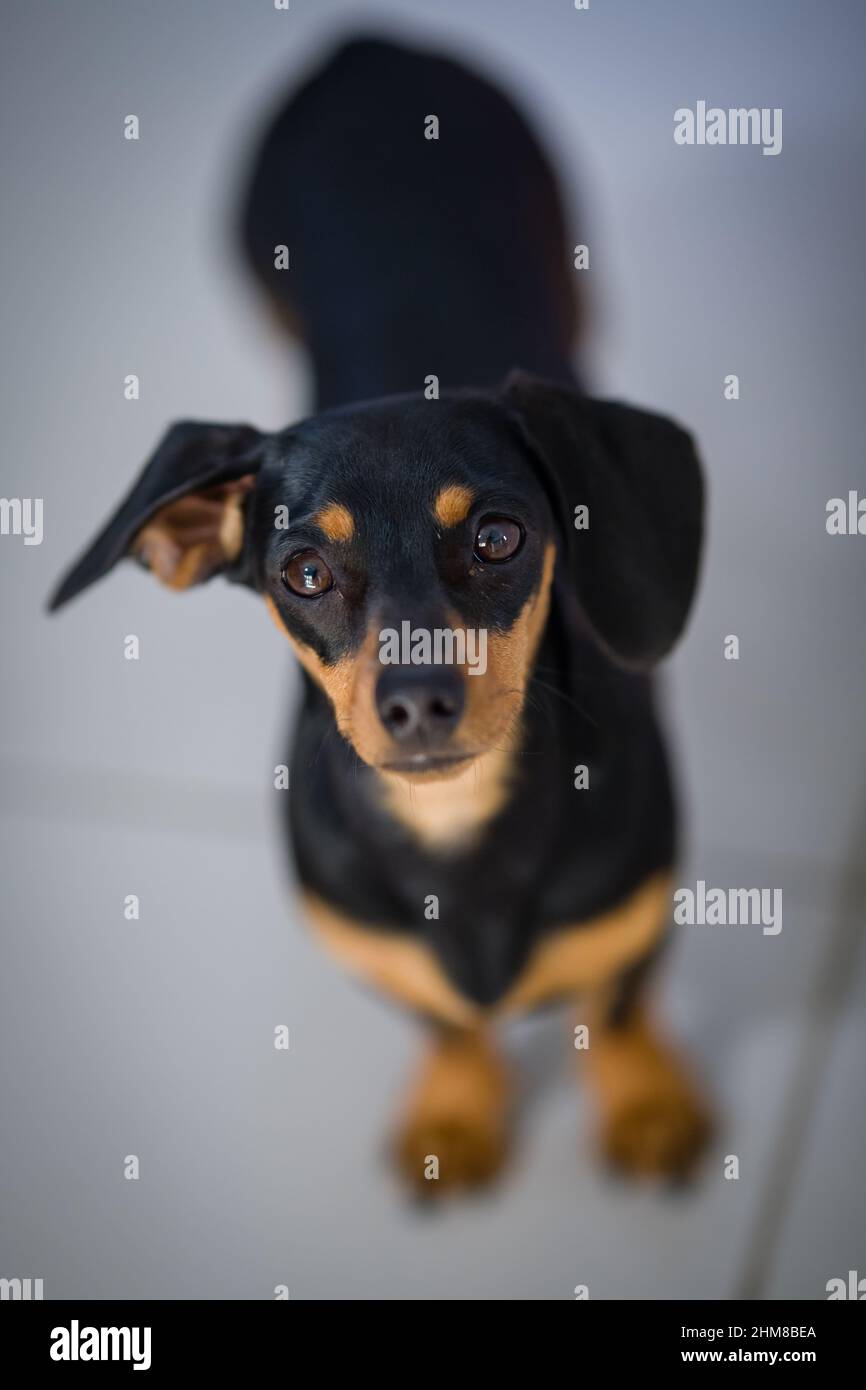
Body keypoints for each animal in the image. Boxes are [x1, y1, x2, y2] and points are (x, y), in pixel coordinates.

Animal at [50, 38, 708, 1195]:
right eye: (304, 571)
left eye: (498, 538)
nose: (416, 705)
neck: (457, 835)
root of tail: (364, 41)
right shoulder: (372, 952)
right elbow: (443, 1022)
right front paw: (454, 1111)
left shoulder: (642, 908)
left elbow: (621, 1003)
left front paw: (643, 1103)